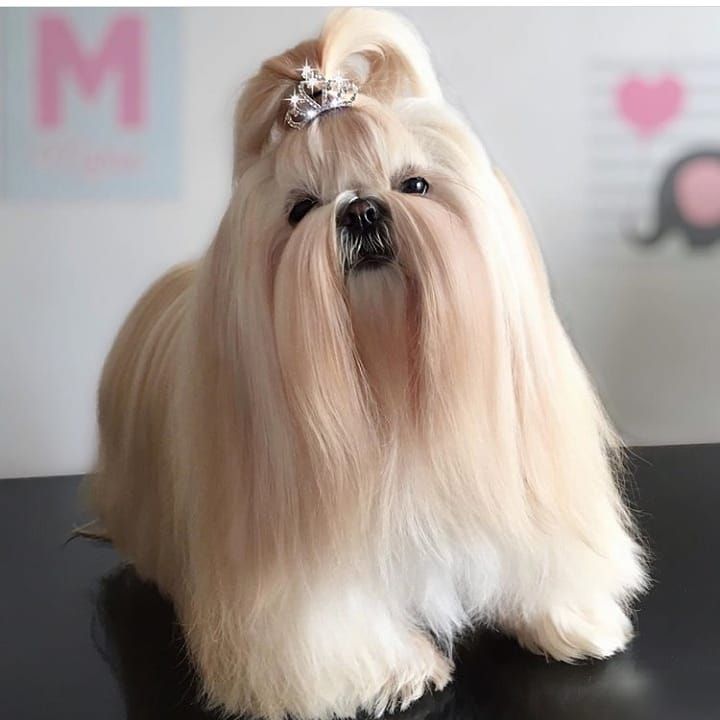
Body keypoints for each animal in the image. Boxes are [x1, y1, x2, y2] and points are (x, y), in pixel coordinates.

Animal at [88, 7, 648, 720]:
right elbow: (323, 619)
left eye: (415, 185)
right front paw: (392, 671)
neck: (390, 385)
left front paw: (572, 617)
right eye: (301, 208)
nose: (359, 208)